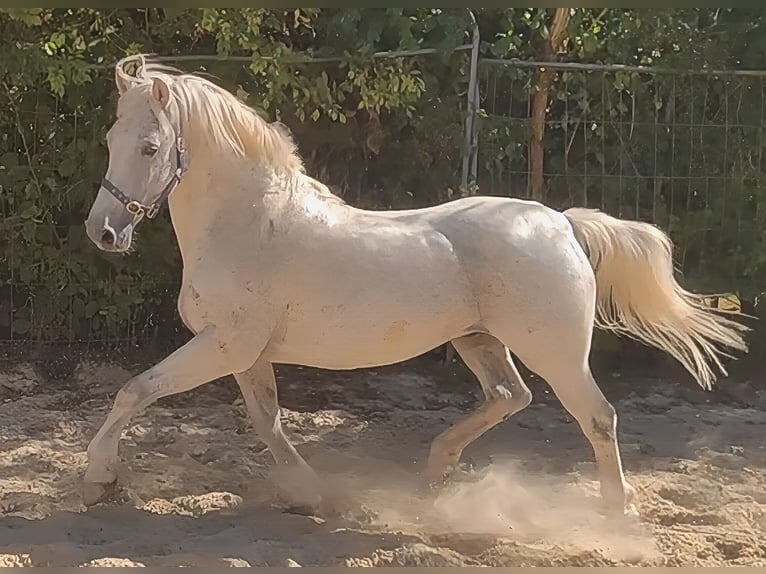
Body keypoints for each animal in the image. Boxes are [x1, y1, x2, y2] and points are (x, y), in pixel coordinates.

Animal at [83, 54, 748, 518]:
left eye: (150, 147)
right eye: (110, 141)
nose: (103, 232)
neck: (251, 223)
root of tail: (558, 221)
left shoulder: (225, 345)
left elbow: (136, 391)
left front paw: (98, 477)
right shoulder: (245, 353)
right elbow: (268, 422)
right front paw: (310, 494)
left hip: (555, 352)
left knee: (597, 416)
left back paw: (617, 509)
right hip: (479, 340)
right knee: (510, 396)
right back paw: (435, 468)